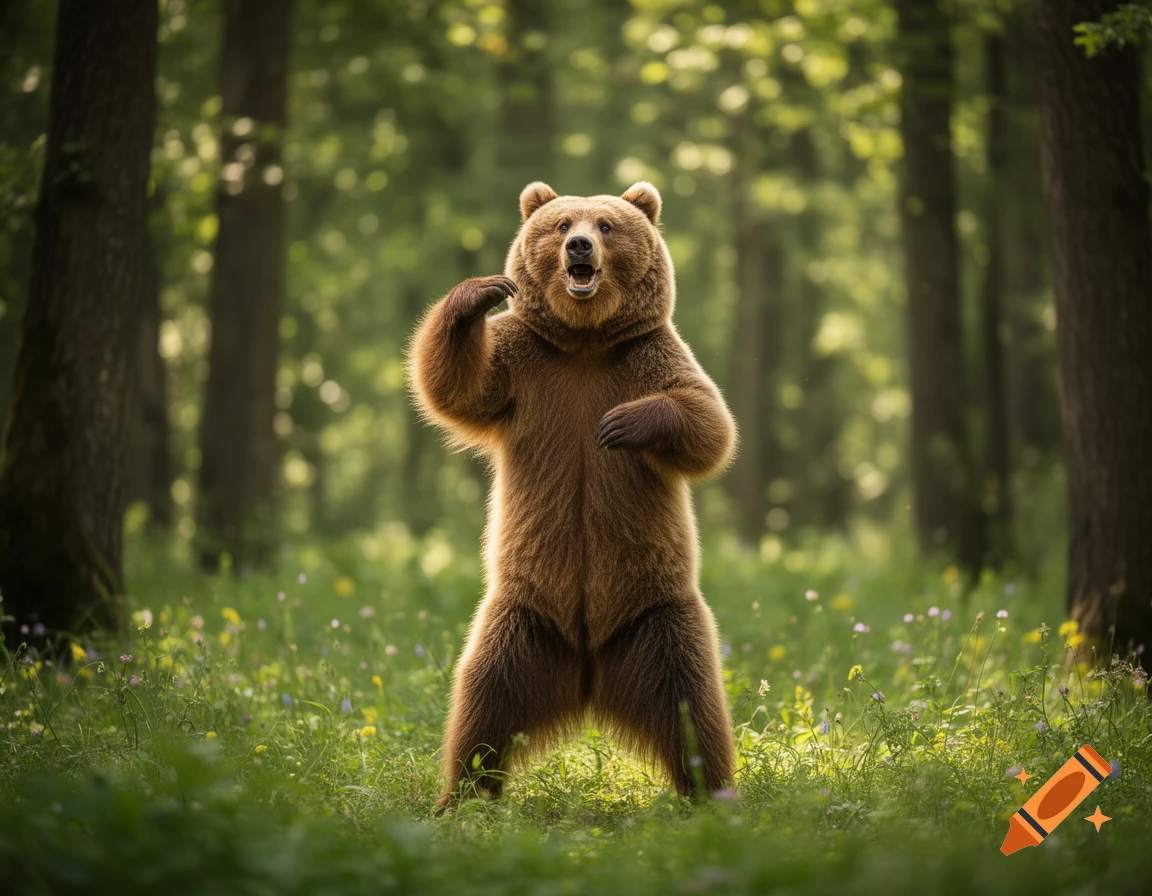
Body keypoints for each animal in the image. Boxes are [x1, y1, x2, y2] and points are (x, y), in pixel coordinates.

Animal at [407, 181, 737, 809]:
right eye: (561, 225)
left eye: (606, 225)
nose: (580, 245)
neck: (585, 341)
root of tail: (588, 672)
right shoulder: (524, 368)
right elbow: (456, 386)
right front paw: (480, 293)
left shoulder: (650, 356)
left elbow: (708, 422)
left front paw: (624, 424)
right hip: (522, 621)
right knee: (481, 702)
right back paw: (460, 794)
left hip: (658, 616)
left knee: (692, 707)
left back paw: (712, 791)